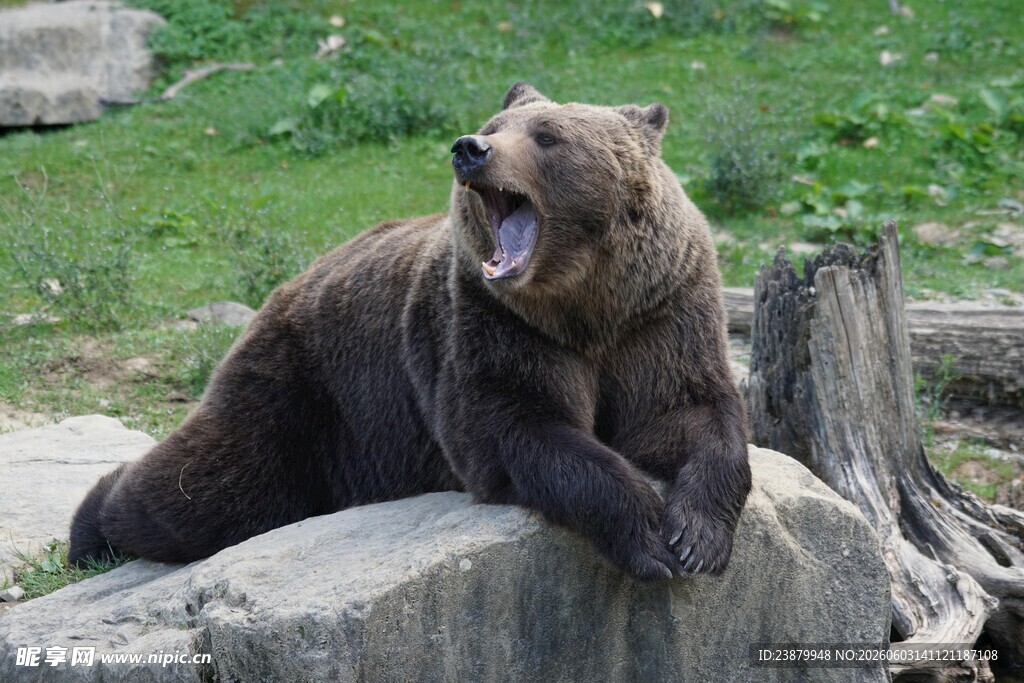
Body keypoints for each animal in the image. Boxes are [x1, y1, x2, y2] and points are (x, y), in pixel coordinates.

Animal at [69, 83, 752, 581]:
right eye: (495, 125)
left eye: (548, 135)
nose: (470, 148)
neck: (582, 303)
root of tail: (288, 286)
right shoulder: (492, 324)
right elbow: (519, 427)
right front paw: (647, 537)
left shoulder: (660, 312)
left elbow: (689, 412)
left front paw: (696, 538)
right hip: (307, 393)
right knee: (212, 489)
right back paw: (91, 526)